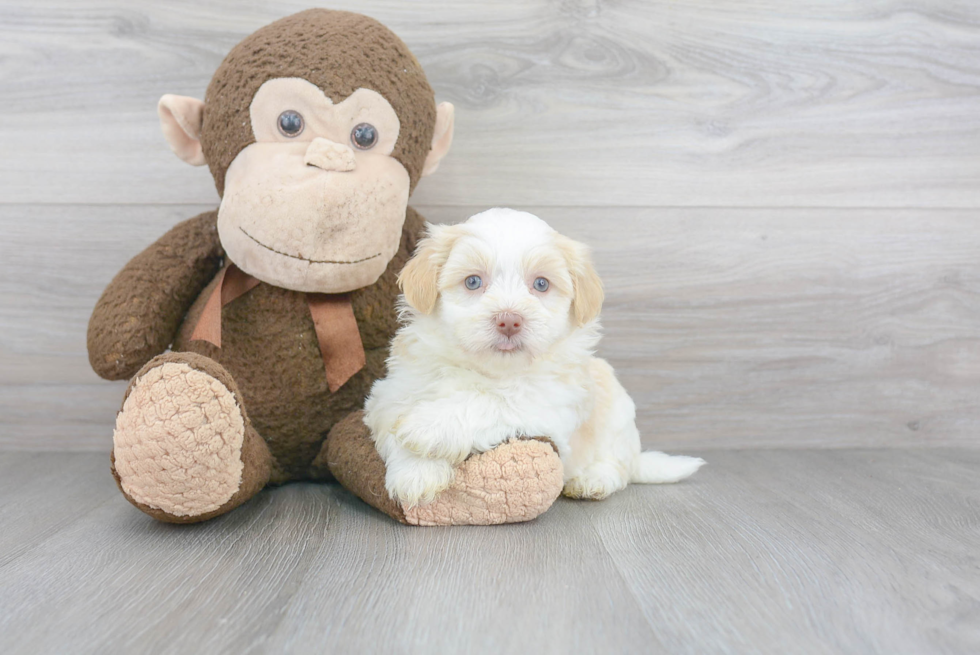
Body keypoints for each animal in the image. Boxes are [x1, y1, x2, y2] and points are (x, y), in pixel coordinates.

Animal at [364, 210, 700, 508]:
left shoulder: (546, 406)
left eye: (541, 284)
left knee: (619, 467)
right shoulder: (390, 394)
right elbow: (394, 422)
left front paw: (428, 426)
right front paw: (416, 472)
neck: (491, 372)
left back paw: (592, 480)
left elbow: (491, 401)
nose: (509, 320)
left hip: (617, 418)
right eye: (473, 282)